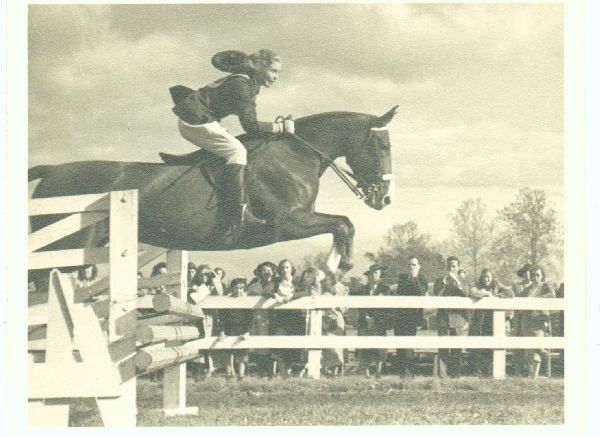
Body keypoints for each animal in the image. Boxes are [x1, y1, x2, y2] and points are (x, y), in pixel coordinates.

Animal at [28, 106, 396, 270]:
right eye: (382, 146)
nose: (384, 198)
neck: (295, 154)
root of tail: (51, 171)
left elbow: (343, 224)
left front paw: (335, 266)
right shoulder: (286, 224)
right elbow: (343, 223)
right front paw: (338, 266)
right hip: (64, 246)